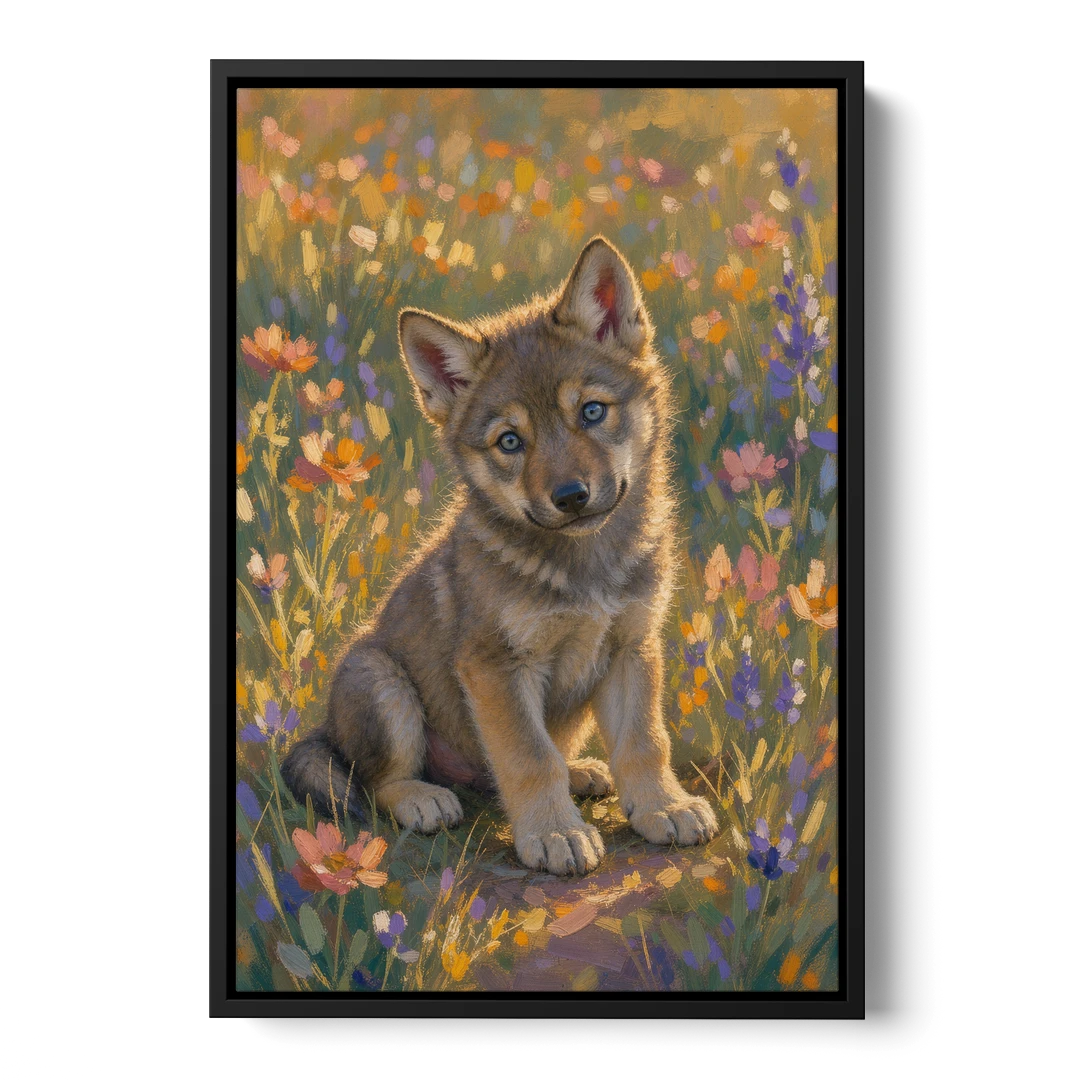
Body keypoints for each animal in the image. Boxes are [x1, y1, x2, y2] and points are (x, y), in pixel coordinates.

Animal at [281, 236, 719, 874]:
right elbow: (529, 759)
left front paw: (664, 806)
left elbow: (644, 742)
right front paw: (556, 833)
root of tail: (325, 728)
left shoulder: (632, 647)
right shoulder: (497, 668)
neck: (585, 568)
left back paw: (583, 773)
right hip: (381, 682)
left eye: (592, 411)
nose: (571, 496)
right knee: (379, 782)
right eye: (510, 441)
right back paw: (424, 798)